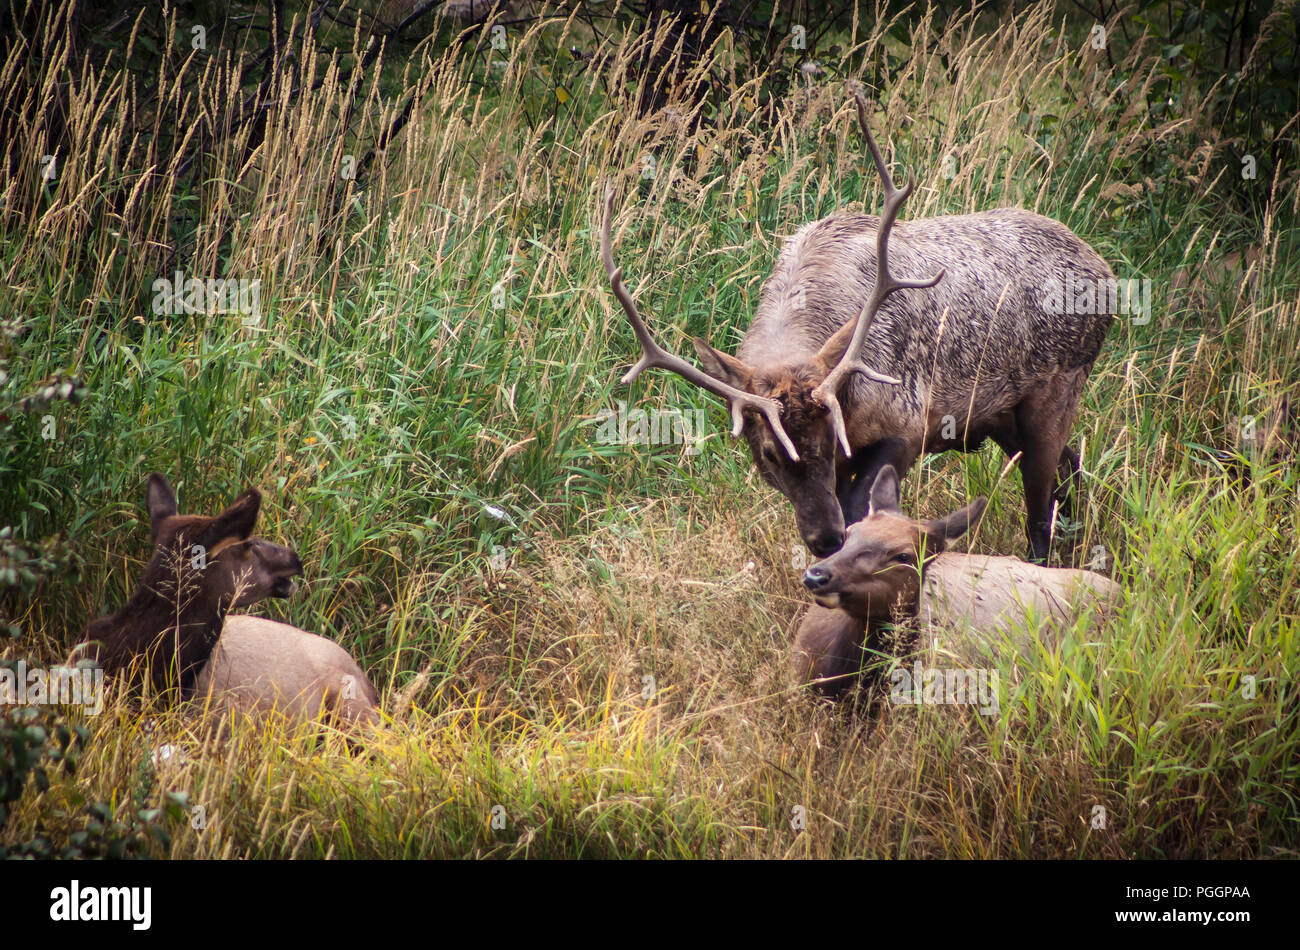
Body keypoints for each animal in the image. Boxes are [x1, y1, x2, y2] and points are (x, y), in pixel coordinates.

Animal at [601, 90, 1115, 562]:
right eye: (768, 453)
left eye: (831, 441)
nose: (824, 541)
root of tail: (1105, 272)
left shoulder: (907, 423)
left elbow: (859, 508)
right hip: (999, 414)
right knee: (1070, 468)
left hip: (1057, 387)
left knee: (1042, 504)